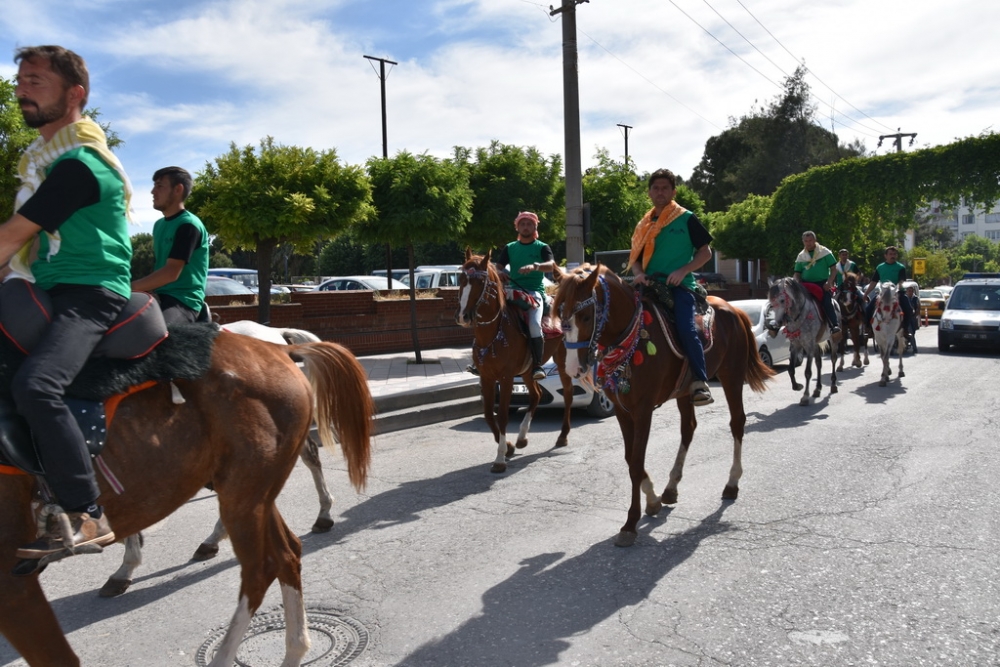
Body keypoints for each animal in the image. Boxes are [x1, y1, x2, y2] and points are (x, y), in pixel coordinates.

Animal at [0, 332, 376, 664]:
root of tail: (275, 347)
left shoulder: (13, 588)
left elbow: (55, 655)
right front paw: (125, 566)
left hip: (244, 493)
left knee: (261, 567)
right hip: (253, 492)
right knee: (287, 553)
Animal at [458, 250, 576, 474]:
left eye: (479, 282)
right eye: (460, 279)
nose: (463, 316)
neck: (493, 332)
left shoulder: (505, 378)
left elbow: (503, 415)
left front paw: (500, 458)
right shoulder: (487, 377)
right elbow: (489, 414)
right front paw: (510, 447)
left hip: (562, 361)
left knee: (567, 395)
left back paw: (563, 436)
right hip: (528, 370)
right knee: (536, 395)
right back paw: (521, 438)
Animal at [556, 266, 772, 548]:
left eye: (585, 315)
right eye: (559, 314)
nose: (572, 368)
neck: (630, 339)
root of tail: (734, 309)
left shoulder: (643, 410)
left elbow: (636, 463)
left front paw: (630, 523)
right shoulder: (622, 411)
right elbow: (630, 459)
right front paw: (653, 500)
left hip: (732, 377)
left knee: (737, 422)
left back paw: (732, 483)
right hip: (685, 391)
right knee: (688, 428)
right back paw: (671, 488)